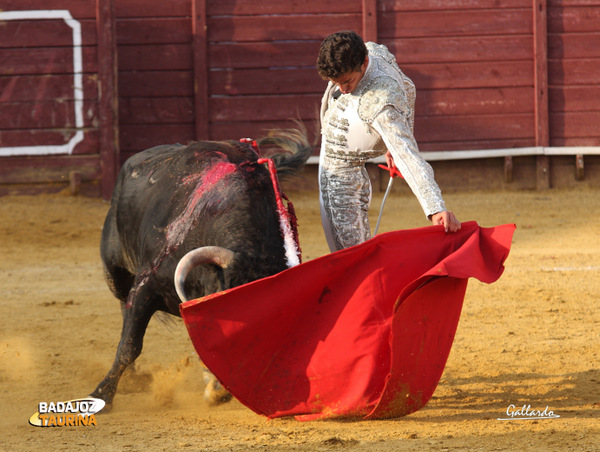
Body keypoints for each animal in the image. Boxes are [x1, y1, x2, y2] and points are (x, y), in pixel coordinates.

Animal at [91, 131, 312, 410]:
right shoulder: (145, 285)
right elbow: (130, 345)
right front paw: (101, 395)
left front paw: (216, 387)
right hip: (115, 270)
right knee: (122, 305)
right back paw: (131, 380)